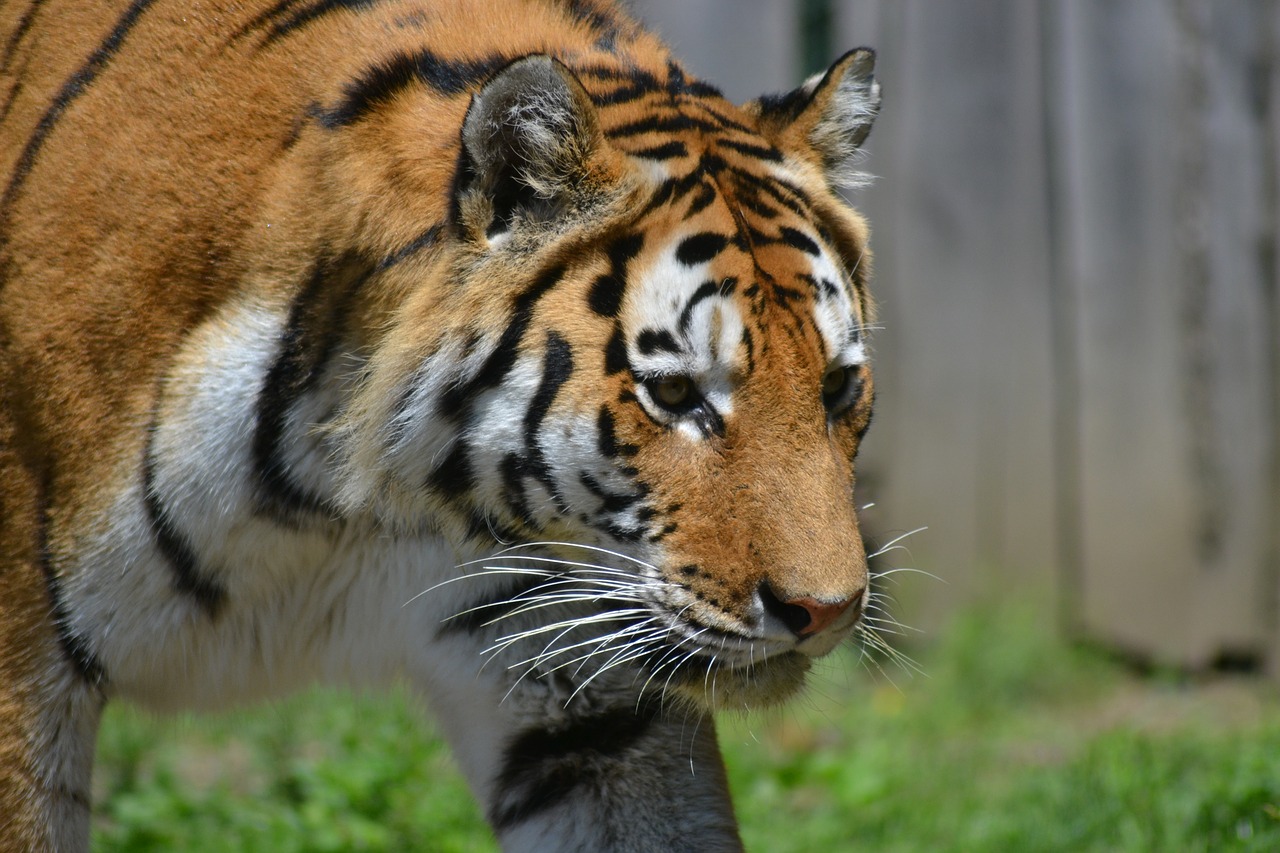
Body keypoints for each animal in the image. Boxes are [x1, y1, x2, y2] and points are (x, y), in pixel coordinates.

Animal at [0, 0, 880, 845]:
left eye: (837, 386)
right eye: (672, 393)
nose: (825, 612)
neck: (361, 503)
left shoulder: (583, 690)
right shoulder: (22, 681)